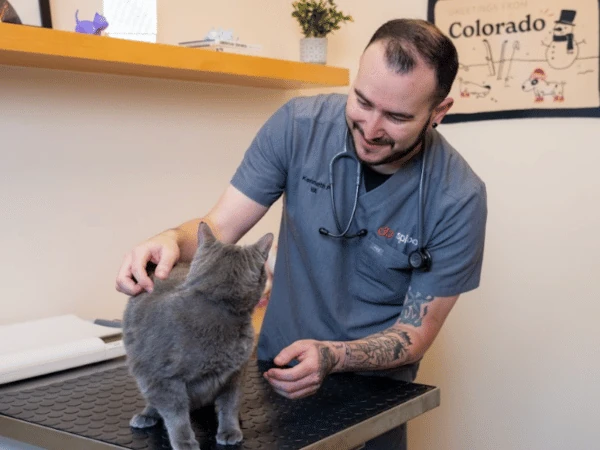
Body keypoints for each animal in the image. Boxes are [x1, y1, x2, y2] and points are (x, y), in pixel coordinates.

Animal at [123, 222, 274, 450]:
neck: (218, 305)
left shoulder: (236, 374)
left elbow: (230, 404)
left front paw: (230, 430)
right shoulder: (162, 379)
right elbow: (176, 416)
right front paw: (184, 442)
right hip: (142, 371)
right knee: (154, 401)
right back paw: (147, 415)